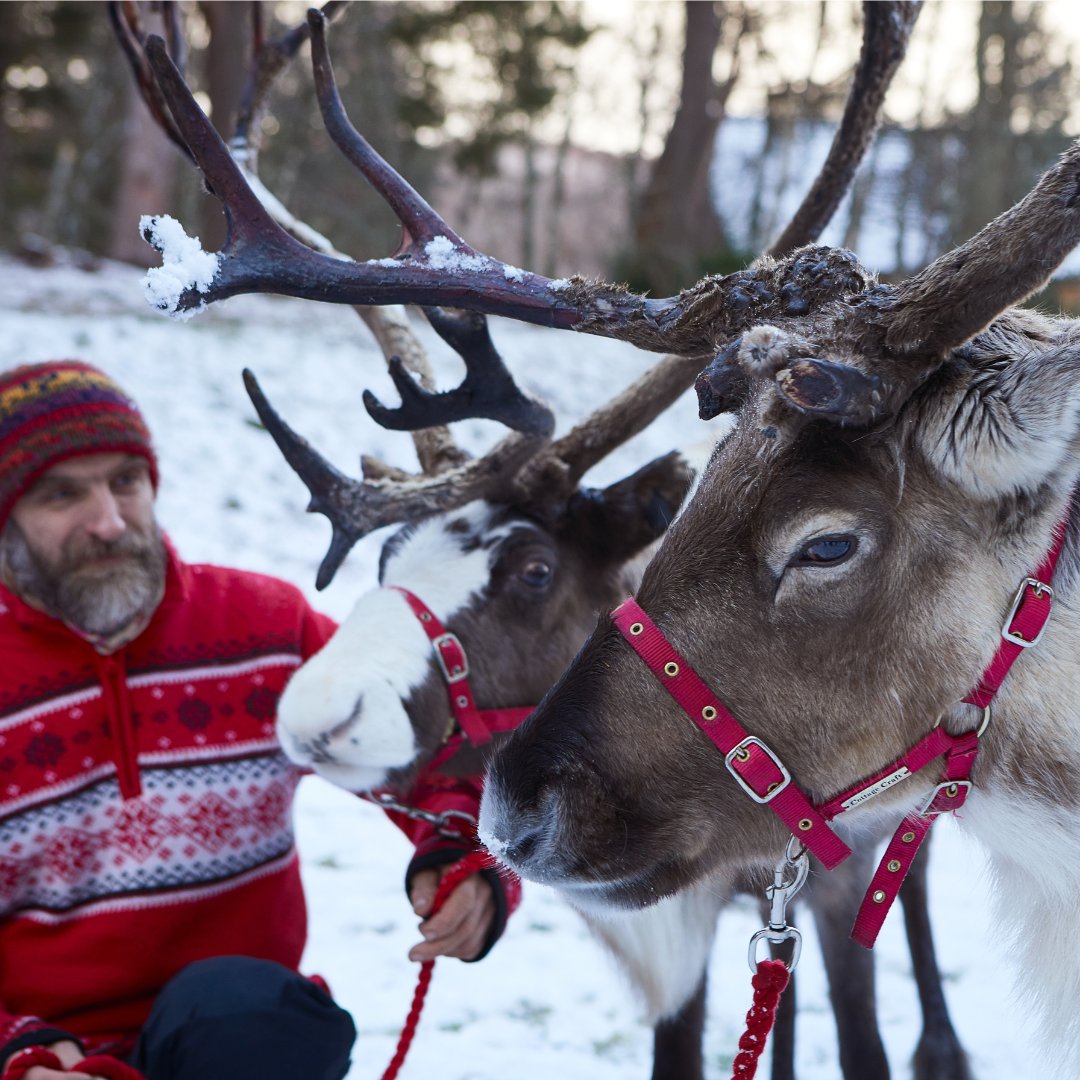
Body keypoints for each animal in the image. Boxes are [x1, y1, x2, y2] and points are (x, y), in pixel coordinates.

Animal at [124, 2, 986, 1075]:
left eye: (533, 570)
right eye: (386, 557)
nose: (314, 715)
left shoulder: (830, 873)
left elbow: (864, 1019)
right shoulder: (679, 922)